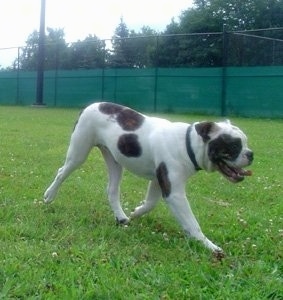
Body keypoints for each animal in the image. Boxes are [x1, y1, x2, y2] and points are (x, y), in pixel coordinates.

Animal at [45, 102, 255, 254]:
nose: (251, 154)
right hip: (79, 153)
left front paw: (136, 212)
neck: (188, 144)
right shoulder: (174, 193)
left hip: (114, 161)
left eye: (245, 143)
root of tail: (91, 105)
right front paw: (209, 246)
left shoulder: (158, 180)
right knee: (61, 172)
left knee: (112, 190)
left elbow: (150, 203)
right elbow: (192, 223)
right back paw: (49, 195)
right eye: (234, 146)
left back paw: (121, 217)